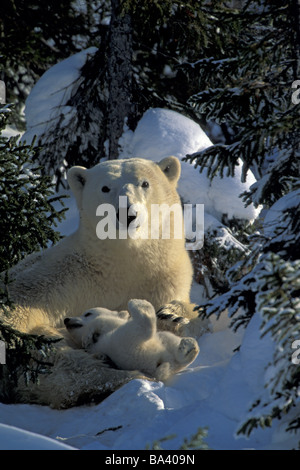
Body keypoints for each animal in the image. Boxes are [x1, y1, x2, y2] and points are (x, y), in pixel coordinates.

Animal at [63, 302, 199, 382]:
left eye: (87, 313)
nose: (66, 319)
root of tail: (158, 363)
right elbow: (98, 325)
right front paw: (87, 338)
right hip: (124, 345)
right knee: (143, 329)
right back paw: (140, 304)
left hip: (158, 341)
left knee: (171, 346)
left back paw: (187, 346)